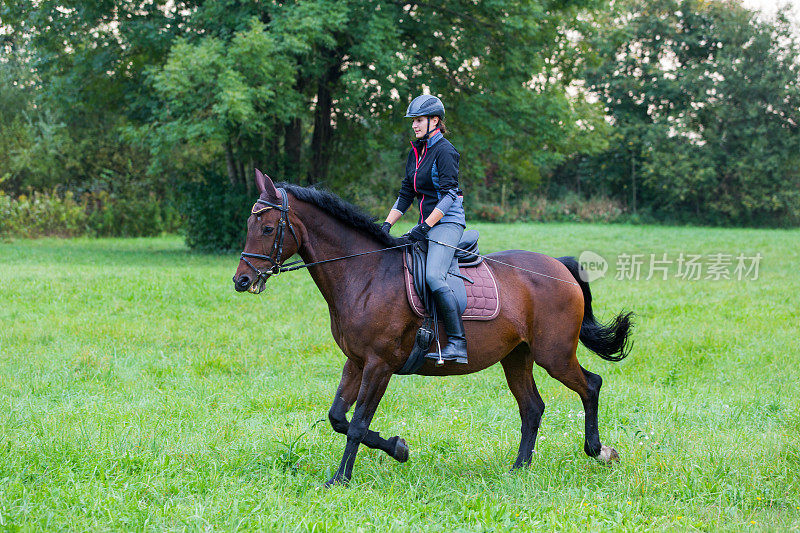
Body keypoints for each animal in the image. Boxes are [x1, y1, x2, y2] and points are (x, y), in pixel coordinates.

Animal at [231, 170, 632, 486]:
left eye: (267, 227)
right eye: (250, 225)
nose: (241, 280)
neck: (366, 274)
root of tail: (560, 266)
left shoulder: (379, 364)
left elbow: (357, 423)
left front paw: (344, 477)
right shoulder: (357, 362)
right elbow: (338, 418)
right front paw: (395, 449)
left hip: (554, 355)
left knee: (591, 385)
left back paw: (599, 450)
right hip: (517, 357)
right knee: (532, 408)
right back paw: (519, 468)